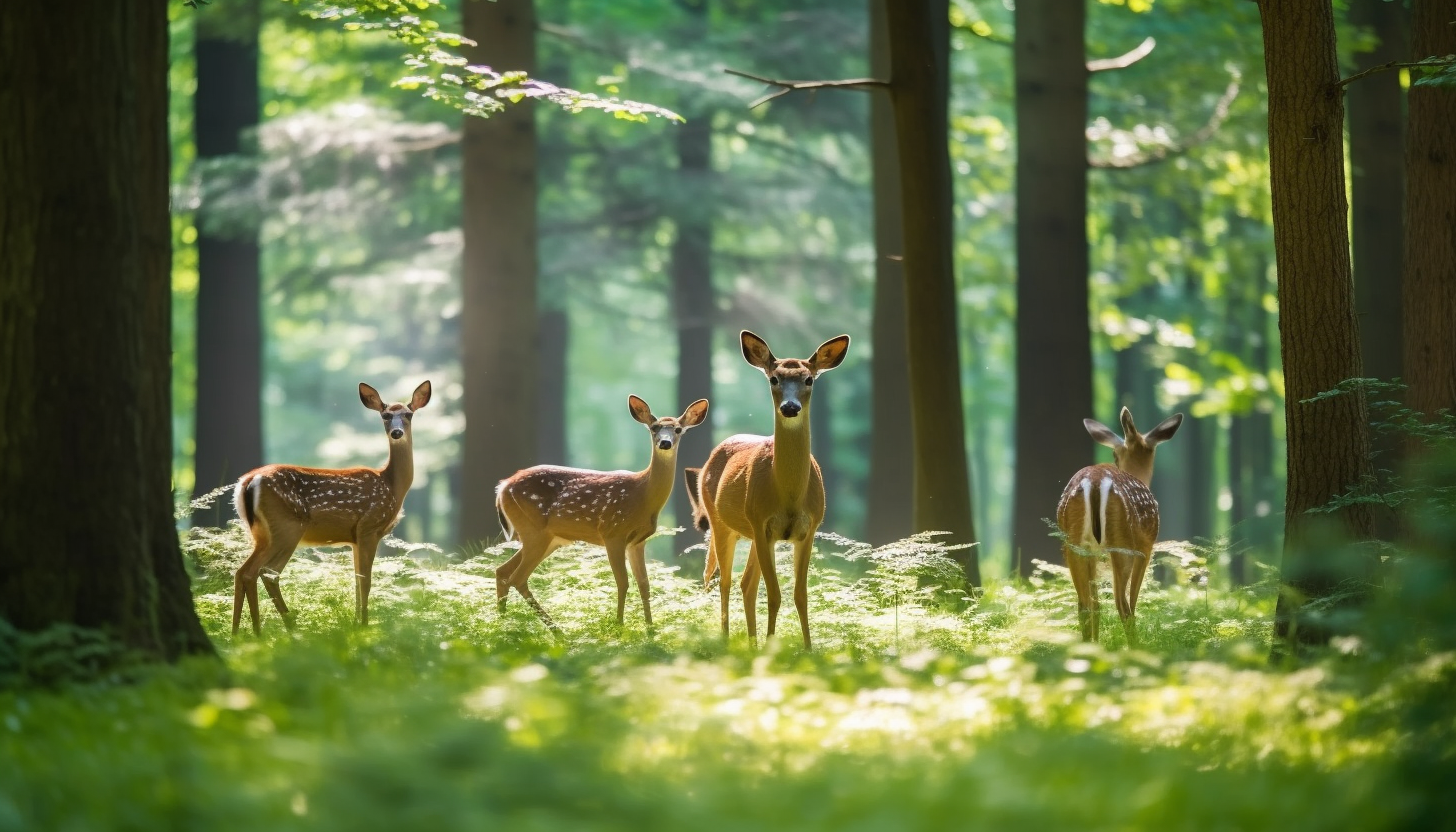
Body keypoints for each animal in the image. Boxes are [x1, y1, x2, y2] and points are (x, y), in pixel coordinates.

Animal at [230, 381, 428, 635]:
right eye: (385, 415)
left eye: (408, 414)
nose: (396, 433)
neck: (392, 485)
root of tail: (248, 482)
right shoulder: (369, 527)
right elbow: (366, 580)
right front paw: (365, 626)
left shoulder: (354, 538)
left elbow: (356, 579)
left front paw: (356, 624)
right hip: (287, 528)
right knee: (265, 572)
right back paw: (287, 628)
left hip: (260, 533)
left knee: (242, 572)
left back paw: (241, 634)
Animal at [495, 396, 710, 623]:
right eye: (654, 428)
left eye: (678, 429)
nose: (665, 443)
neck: (643, 495)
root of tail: (503, 487)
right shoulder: (612, 532)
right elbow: (623, 582)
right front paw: (619, 625)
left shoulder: (637, 541)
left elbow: (644, 584)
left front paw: (650, 628)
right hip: (534, 531)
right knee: (517, 578)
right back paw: (553, 628)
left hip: (548, 539)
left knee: (502, 572)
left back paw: (505, 622)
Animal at [684, 332, 850, 649]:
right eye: (774, 378)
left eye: (809, 379)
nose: (790, 407)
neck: (789, 497)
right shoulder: (762, 524)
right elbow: (774, 594)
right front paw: (772, 648)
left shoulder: (809, 529)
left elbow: (800, 595)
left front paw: (808, 649)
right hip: (722, 523)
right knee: (721, 579)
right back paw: (727, 640)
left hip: (750, 533)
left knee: (746, 583)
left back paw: (751, 644)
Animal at [1059, 407, 1182, 646]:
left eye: (1114, 454)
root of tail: (1095, 481)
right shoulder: (1146, 546)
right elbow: (1133, 600)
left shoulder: (1092, 552)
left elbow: (1095, 603)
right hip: (1121, 542)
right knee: (1123, 606)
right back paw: (1134, 648)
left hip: (1074, 544)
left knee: (1085, 605)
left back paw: (1088, 648)